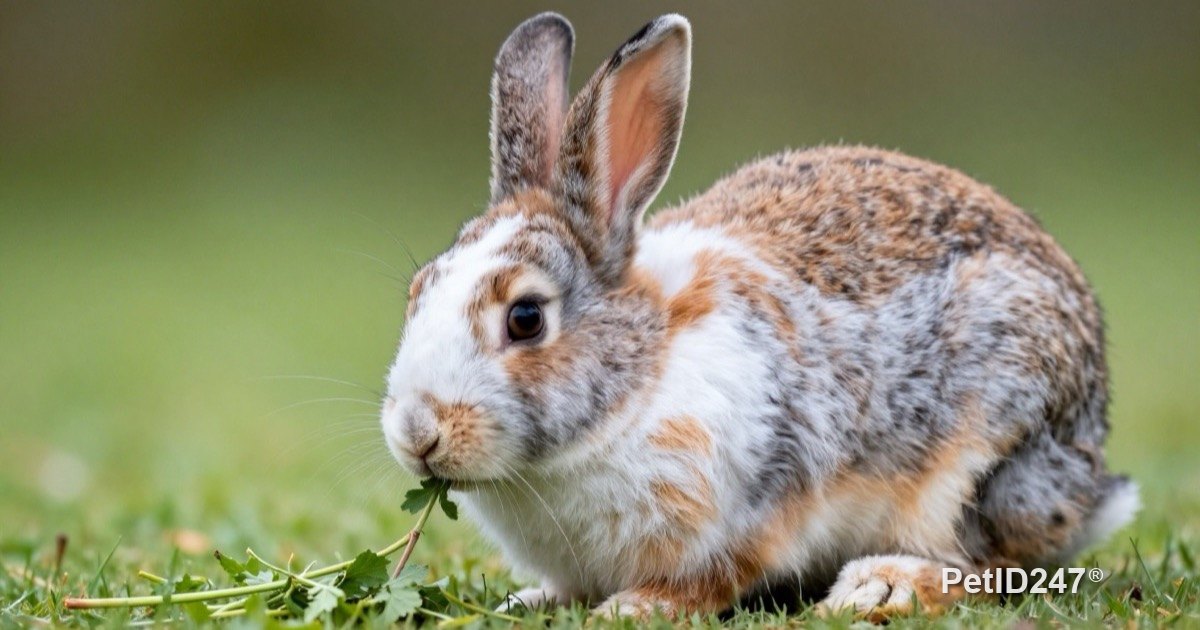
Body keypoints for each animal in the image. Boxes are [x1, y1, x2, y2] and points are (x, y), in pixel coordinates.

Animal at [379, 12, 1139, 620]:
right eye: (418, 289)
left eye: (526, 318)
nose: (418, 433)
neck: (638, 384)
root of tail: (1093, 475)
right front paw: (532, 599)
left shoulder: (753, 504)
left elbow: (717, 575)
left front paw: (633, 608)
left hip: (988, 457)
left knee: (990, 565)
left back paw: (880, 587)